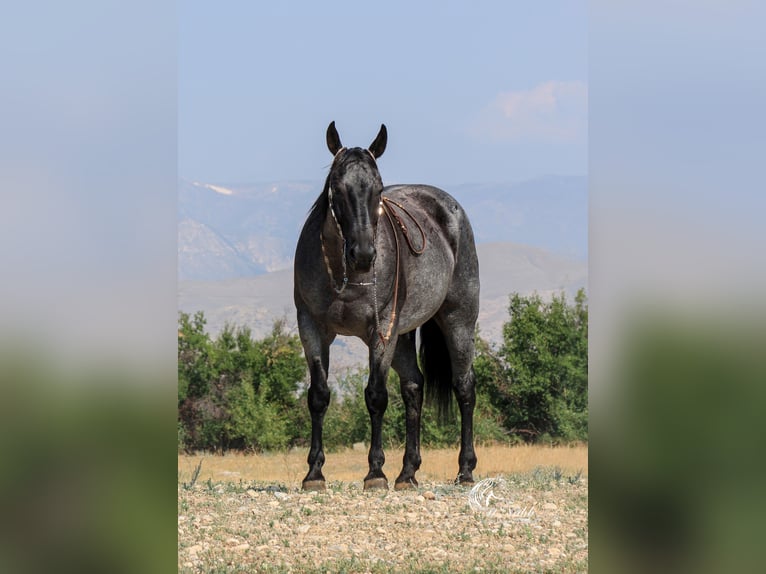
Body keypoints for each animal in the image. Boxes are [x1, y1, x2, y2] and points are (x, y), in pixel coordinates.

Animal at [294, 120, 480, 490]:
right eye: (338, 186)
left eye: (378, 188)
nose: (364, 254)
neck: (343, 272)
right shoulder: (312, 329)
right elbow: (318, 396)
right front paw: (314, 473)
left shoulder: (380, 332)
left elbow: (376, 396)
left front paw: (375, 472)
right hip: (403, 335)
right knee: (413, 388)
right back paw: (408, 473)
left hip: (458, 321)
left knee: (464, 387)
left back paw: (465, 470)